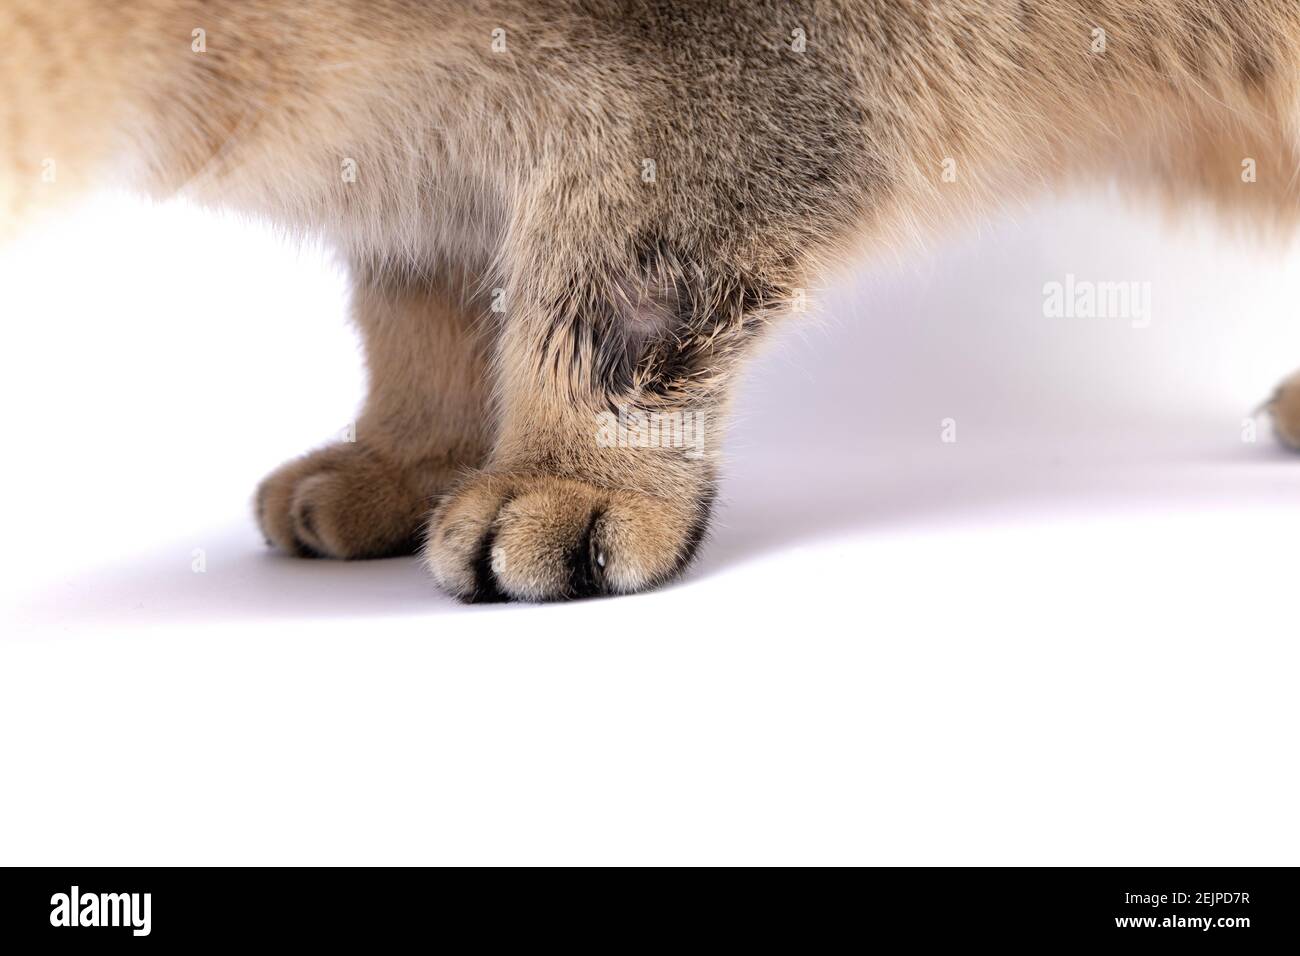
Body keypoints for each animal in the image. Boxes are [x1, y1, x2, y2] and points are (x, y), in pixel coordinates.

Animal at [7, 0, 1300, 600]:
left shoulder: (710, 91)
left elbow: (607, 302)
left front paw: (569, 477)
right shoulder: (420, 183)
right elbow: (422, 331)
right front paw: (403, 461)